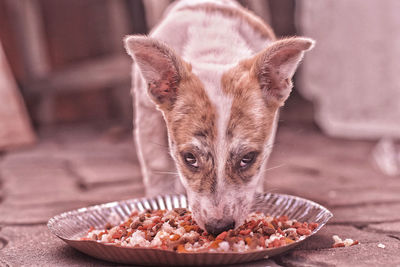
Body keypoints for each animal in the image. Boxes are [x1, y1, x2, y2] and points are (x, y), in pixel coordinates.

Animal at [123, 0, 314, 236]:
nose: (218, 227)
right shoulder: (147, 118)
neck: (214, 51)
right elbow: (157, 171)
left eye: (248, 158)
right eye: (189, 158)